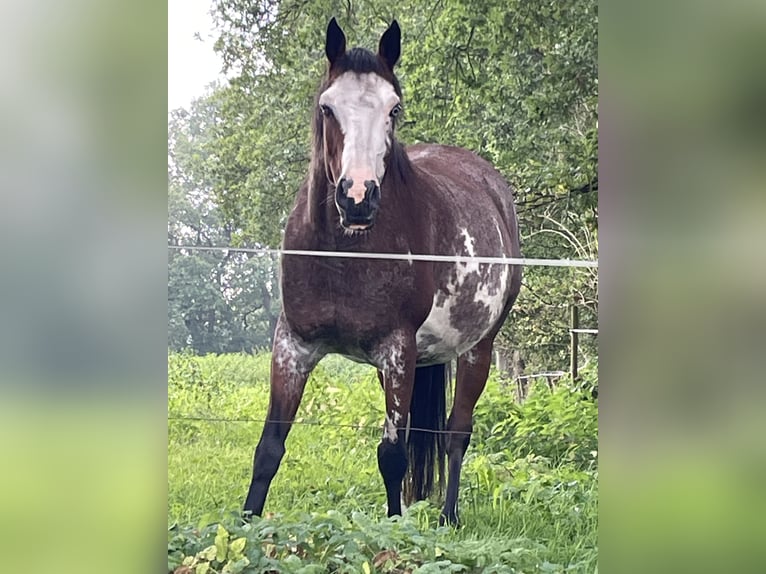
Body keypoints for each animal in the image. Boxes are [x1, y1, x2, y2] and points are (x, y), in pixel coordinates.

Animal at [243, 17, 522, 526]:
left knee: (456, 432)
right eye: (327, 107)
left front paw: (396, 534)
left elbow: (392, 456)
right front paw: (244, 527)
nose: (357, 197)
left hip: (478, 349)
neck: (343, 258)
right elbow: (269, 448)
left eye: (394, 109)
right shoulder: (293, 344)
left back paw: (448, 517)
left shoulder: (397, 349)